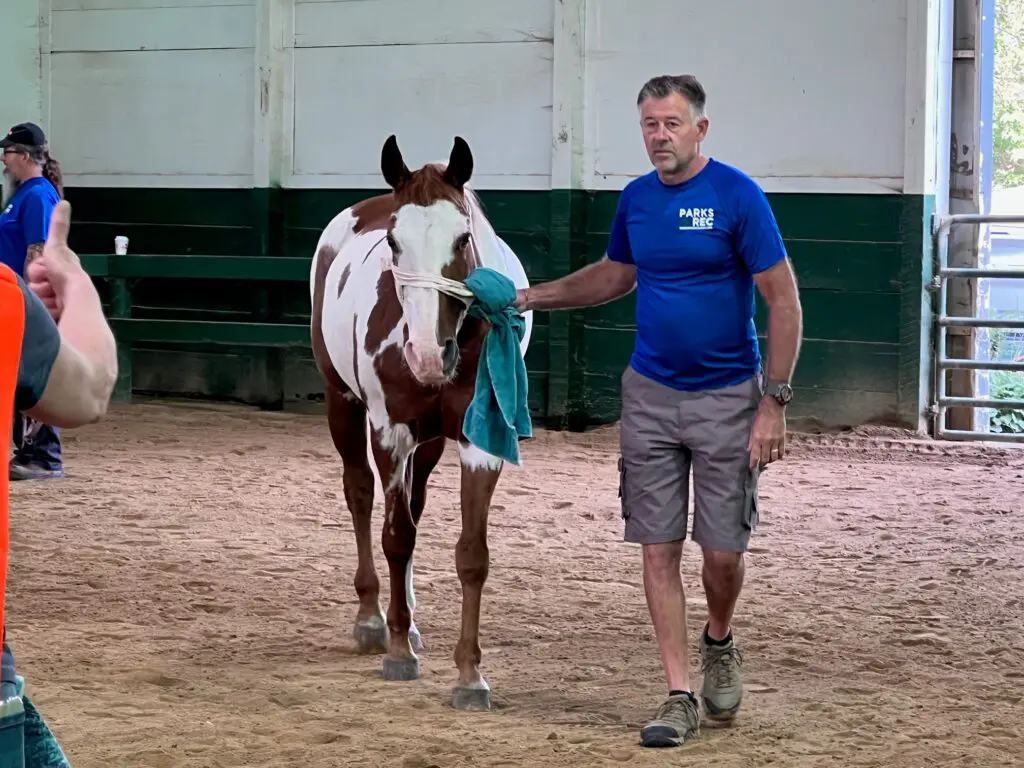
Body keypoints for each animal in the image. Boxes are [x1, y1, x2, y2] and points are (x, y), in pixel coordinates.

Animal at [308, 134, 533, 710]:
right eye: (393, 241)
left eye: (463, 237)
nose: (429, 354)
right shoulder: (390, 432)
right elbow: (396, 536)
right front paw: (396, 653)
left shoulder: (480, 444)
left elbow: (471, 554)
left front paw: (469, 675)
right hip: (342, 404)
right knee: (362, 495)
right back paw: (374, 620)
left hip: (429, 445)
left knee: (414, 502)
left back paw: (404, 623)